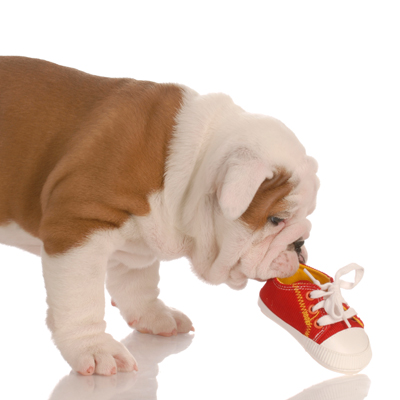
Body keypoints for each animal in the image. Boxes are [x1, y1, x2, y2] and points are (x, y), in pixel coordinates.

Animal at [0, 56, 318, 376]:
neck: (188, 165)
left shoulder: (139, 237)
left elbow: (137, 281)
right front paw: (94, 347)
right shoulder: (77, 226)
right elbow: (80, 297)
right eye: (276, 219)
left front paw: (153, 315)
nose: (300, 243)